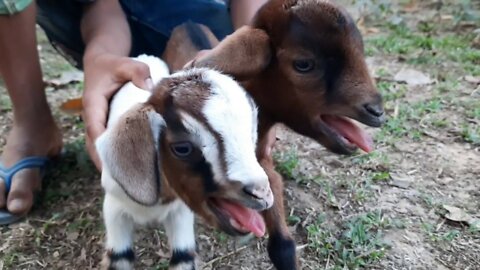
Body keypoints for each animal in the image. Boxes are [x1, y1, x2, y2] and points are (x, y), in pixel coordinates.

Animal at [95, 55, 274, 270]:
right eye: (182, 148)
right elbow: (119, 257)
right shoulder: (114, 208)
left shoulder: (180, 212)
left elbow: (183, 258)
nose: (261, 193)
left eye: (251, 135)